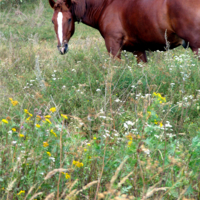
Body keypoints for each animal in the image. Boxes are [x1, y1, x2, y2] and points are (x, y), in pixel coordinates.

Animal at [48, 0, 200, 62]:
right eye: (53, 21)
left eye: (69, 19)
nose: (62, 48)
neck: (106, 5)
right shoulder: (139, 50)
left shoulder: (114, 49)